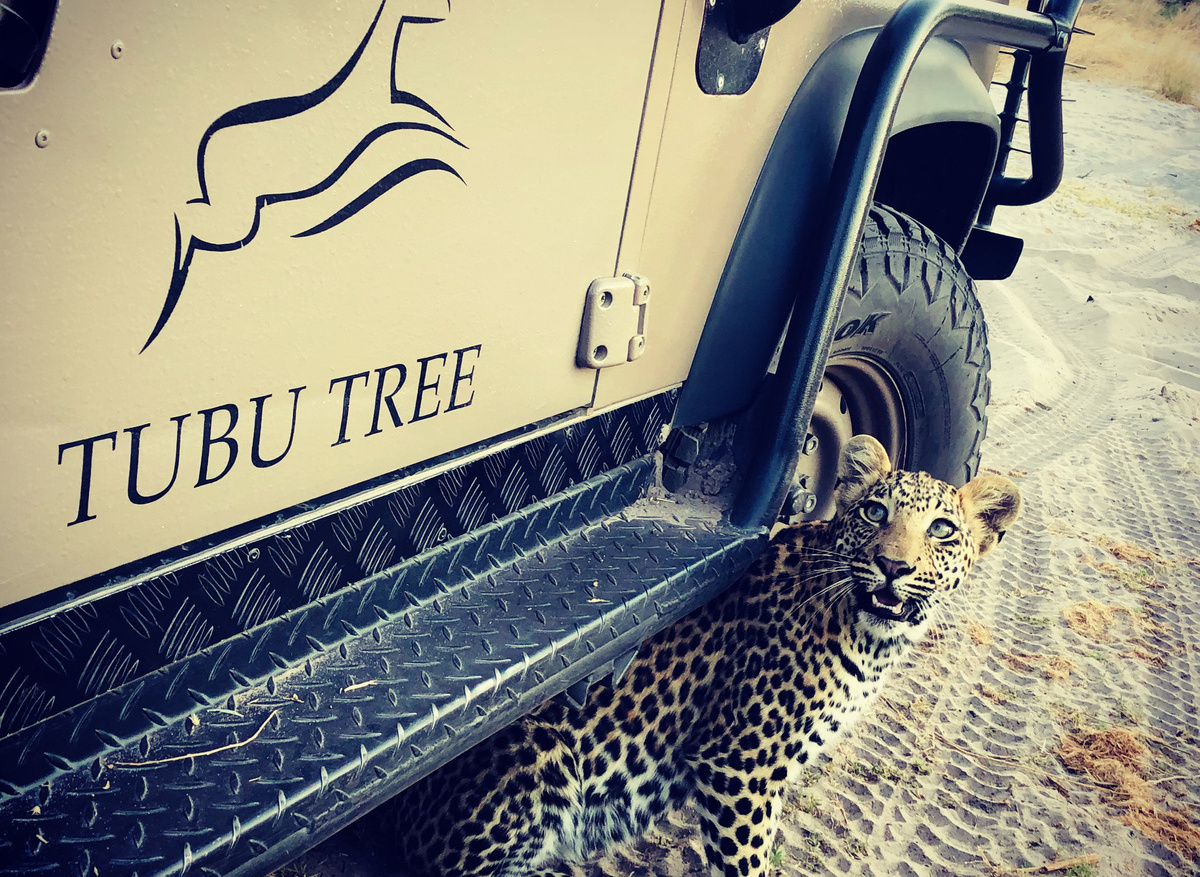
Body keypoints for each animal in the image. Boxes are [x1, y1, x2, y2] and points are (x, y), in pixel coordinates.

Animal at [375, 434, 1022, 877]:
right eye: (874, 513)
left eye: (942, 530)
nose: (892, 565)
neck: (867, 637)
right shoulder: (742, 765)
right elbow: (747, 864)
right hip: (542, 755)